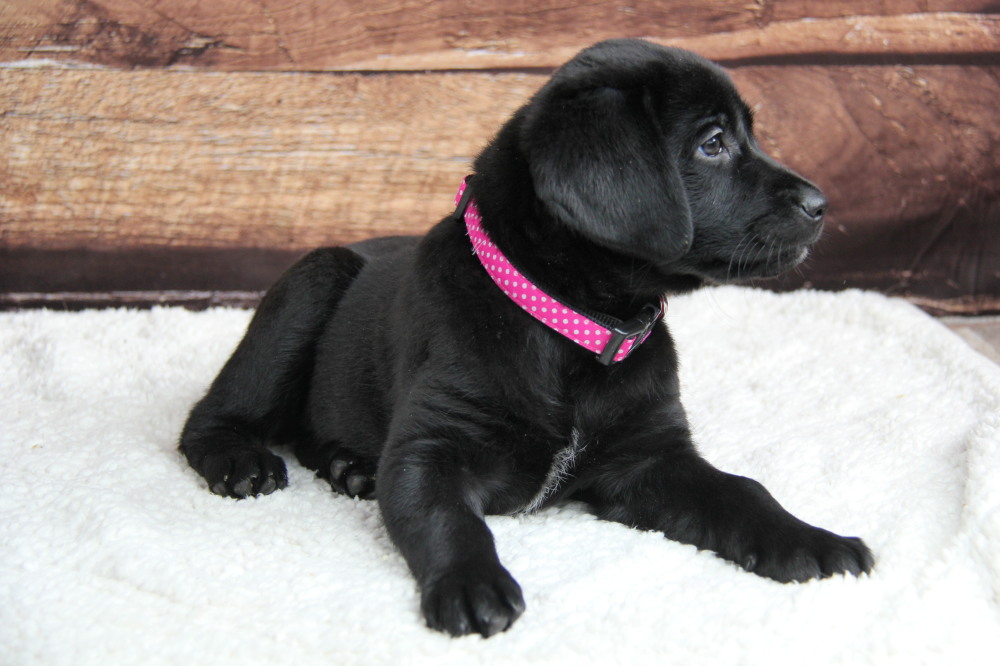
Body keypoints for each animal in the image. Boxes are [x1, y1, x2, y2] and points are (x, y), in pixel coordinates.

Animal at [182, 39, 876, 636]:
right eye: (713, 143)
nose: (821, 204)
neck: (575, 333)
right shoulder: (430, 449)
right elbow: (447, 518)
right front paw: (471, 584)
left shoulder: (651, 457)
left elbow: (742, 492)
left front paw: (812, 540)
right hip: (311, 283)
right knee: (208, 417)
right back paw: (242, 462)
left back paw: (348, 466)